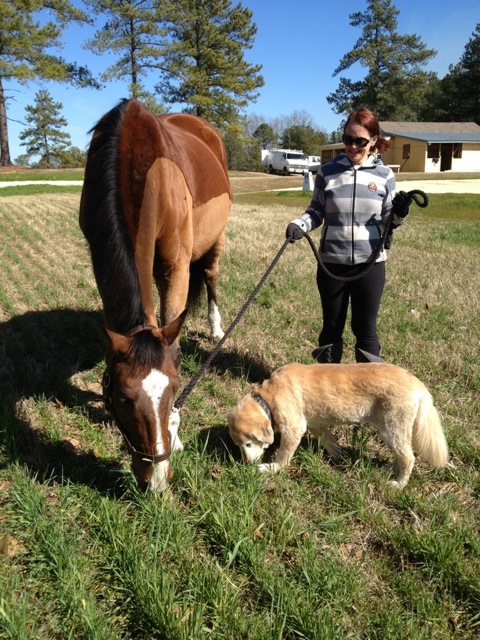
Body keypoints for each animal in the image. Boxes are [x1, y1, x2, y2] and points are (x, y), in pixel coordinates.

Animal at [79, 99, 232, 490]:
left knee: (211, 275)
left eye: (176, 388)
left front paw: (175, 435)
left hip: (216, 239)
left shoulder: (174, 267)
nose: (157, 480)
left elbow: (173, 344)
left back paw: (216, 326)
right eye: (121, 397)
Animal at [227, 362, 448, 488]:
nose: (245, 464)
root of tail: (418, 385)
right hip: (390, 430)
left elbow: (283, 457)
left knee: (409, 457)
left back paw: (399, 484)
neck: (268, 397)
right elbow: (330, 442)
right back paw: (391, 469)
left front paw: (271, 468)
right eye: (238, 445)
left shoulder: (294, 429)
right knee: (402, 454)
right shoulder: (315, 426)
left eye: (248, 444)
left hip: (393, 428)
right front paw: (339, 457)